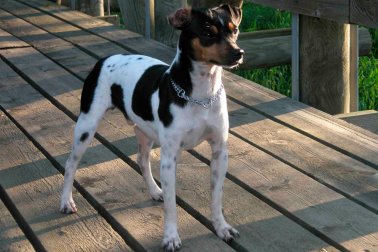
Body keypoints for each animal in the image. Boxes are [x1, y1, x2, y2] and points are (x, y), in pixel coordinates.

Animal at [60, 2, 244, 251]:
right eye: (207, 33)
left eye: (235, 30)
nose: (238, 53)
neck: (202, 95)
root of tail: (105, 59)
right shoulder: (169, 158)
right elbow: (171, 204)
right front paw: (171, 237)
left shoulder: (219, 152)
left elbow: (217, 196)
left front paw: (221, 227)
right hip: (86, 127)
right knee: (70, 164)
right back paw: (66, 201)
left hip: (144, 133)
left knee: (141, 160)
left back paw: (155, 190)